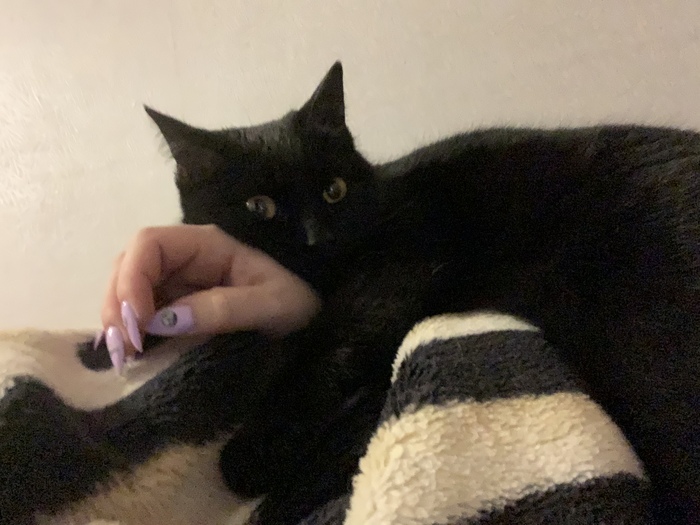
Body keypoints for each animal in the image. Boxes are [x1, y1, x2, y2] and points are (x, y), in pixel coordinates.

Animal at [145, 61, 700, 524]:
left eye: (334, 191)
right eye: (259, 207)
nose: (315, 238)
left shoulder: (395, 282)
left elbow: (323, 359)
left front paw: (253, 462)